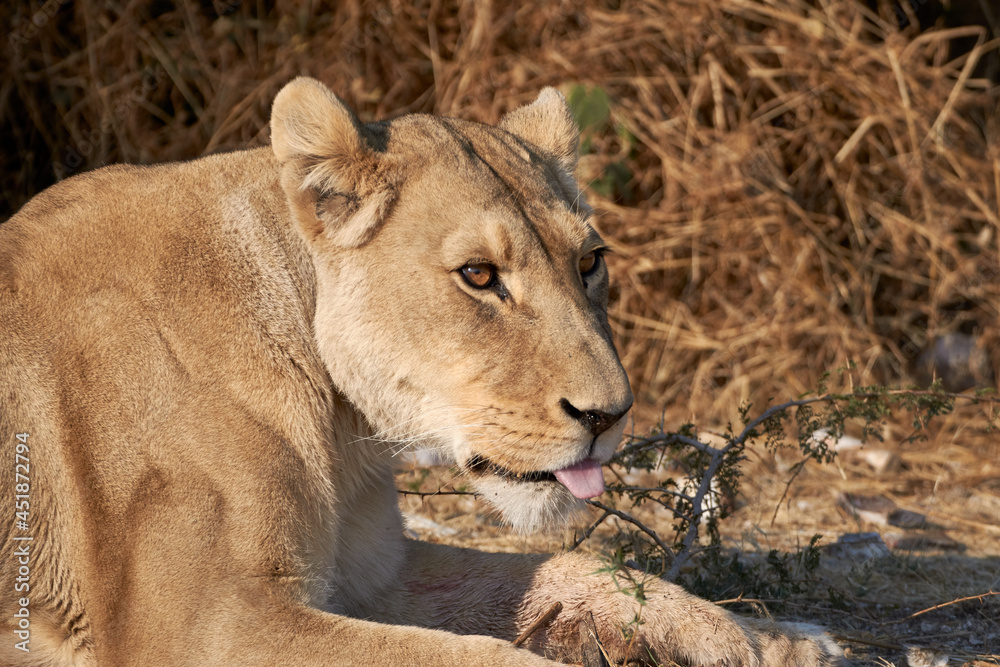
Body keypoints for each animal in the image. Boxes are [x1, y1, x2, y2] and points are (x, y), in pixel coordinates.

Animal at [0, 77, 846, 666]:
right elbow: (481, 657)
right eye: (478, 275)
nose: (609, 416)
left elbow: (581, 569)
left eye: (590, 262)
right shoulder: (200, 625)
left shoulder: (377, 574)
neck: (345, 431)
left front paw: (775, 639)